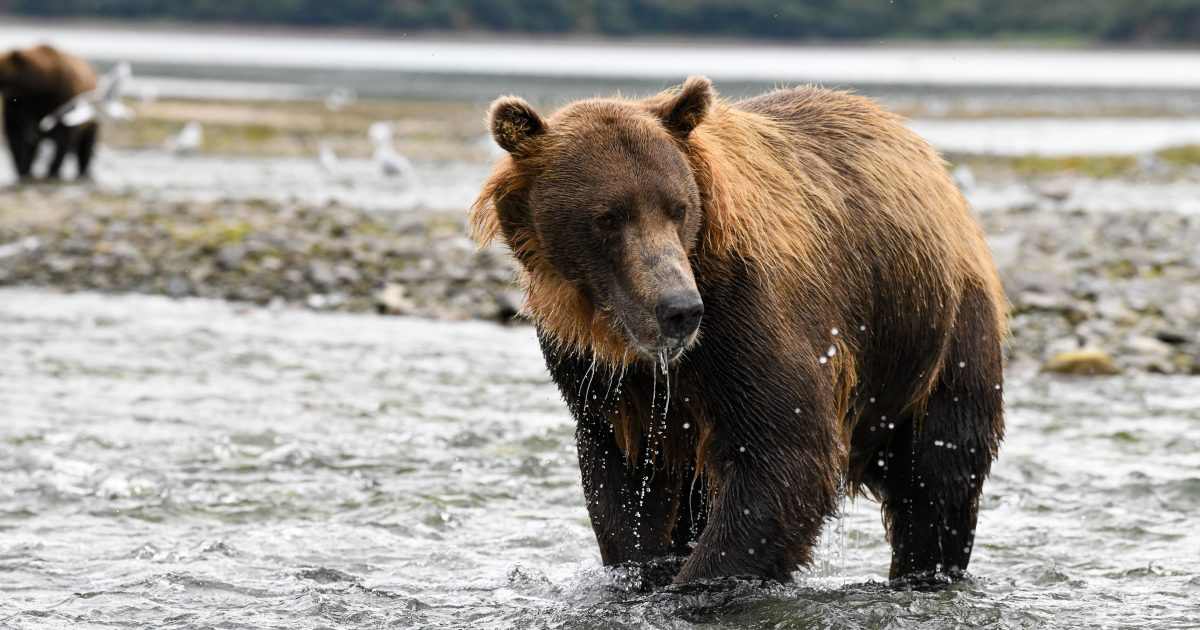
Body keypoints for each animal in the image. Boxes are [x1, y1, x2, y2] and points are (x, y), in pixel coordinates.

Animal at [0, 44, 99, 181]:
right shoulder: (18, 106)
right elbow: (16, 136)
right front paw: (23, 171)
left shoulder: (61, 99)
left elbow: (63, 138)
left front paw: (52, 172)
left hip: (90, 120)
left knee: (86, 145)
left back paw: (83, 171)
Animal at [472, 76, 1006, 586]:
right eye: (608, 217)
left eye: (678, 207)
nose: (679, 309)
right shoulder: (600, 373)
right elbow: (623, 480)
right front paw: (642, 571)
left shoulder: (747, 318)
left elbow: (785, 456)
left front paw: (696, 582)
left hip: (935, 336)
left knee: (938, 475)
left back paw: (926, 569)